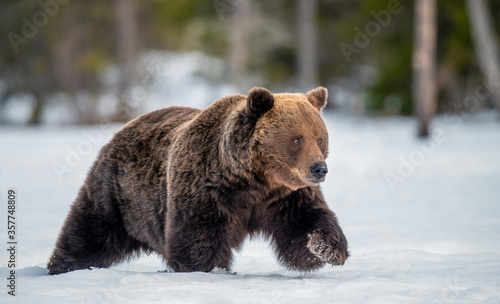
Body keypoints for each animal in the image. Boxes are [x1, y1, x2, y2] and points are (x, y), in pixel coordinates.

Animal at [48, 86, 350, 274]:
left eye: (320, 138)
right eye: (296, 139)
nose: (319, 168)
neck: (252, 182)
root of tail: (123, 128)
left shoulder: (285, 196)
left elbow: (305, 224)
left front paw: (326, 249)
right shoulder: (205, 189)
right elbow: (196, 238)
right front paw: (206, 268)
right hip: (117, 196)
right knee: (89, 233)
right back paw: (60, 266)